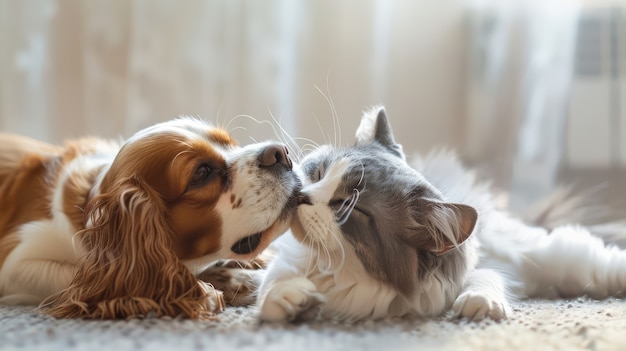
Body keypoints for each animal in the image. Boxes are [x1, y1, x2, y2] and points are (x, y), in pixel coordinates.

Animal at [0, 117, 300, 320]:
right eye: (201, 173)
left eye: (232, 145)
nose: (280, 152)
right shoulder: (17, 262)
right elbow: (71, 277)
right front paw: (206, 291)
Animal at [256, 108, 624, 324]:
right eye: (318, 173)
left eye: (348, 206)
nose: (302, 197)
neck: (335, 274)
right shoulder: (283, 265)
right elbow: (271, 292)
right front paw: (294, 299)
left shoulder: (477, 267)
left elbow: (483, 280)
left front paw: (480, 304)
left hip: (560, 256)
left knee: (601, 261)